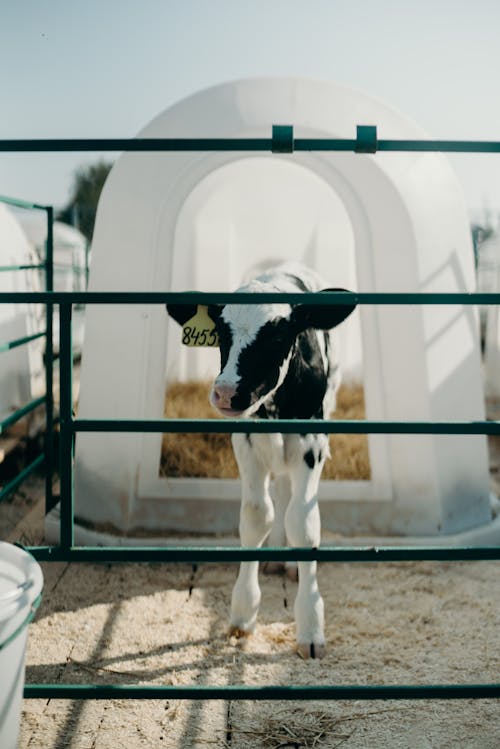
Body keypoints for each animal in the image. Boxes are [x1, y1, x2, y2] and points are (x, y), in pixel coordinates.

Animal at [168, 264, 356, 660]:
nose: (226, 392)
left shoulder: (312, 441)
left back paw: (289, 563)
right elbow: (257, 517)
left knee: (290, 497)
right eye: (221, 332)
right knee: (280, 491)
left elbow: (304, 523)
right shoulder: (247, 441)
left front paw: (310, 628)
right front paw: (243, 612)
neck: (275, 406)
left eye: (277, 336)